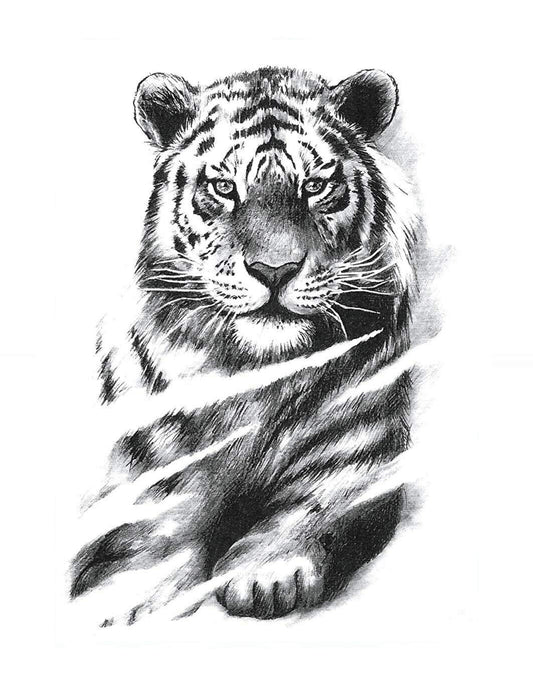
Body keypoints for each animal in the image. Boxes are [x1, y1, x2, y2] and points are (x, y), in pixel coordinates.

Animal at [71, 66, 419, 623]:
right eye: (223, 187)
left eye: (315, 186)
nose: (274, 270)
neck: (257, 374)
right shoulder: (149, 475)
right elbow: (141, 534)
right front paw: (126, 600)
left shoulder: (352, 458)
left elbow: (309, 513)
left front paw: (267, 575)